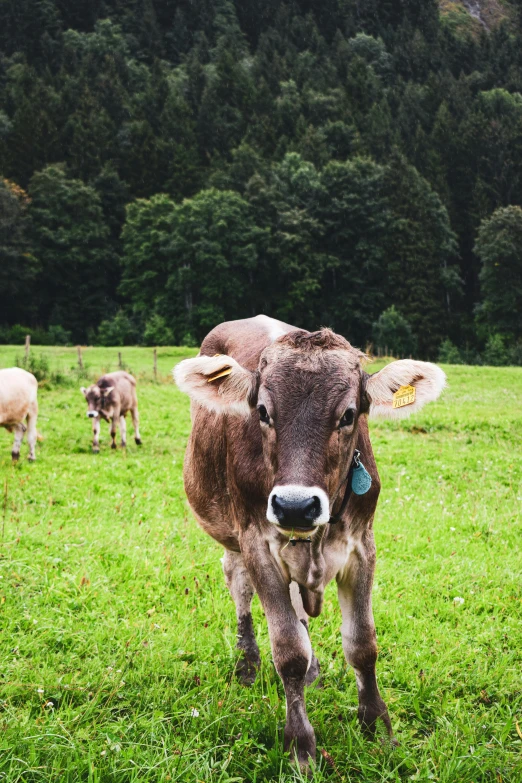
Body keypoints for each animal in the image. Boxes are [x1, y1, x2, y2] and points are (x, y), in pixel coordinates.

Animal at [174, 316, 442, 768]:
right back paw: (248, 663)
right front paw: (300, 745)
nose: (295, 506)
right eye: (263, 412)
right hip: (230, 534)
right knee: (238, 584)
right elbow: (288, 652)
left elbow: (362, 643)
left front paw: (377, 728)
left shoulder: (361, 546)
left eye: (349, 414)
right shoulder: (257, 543)